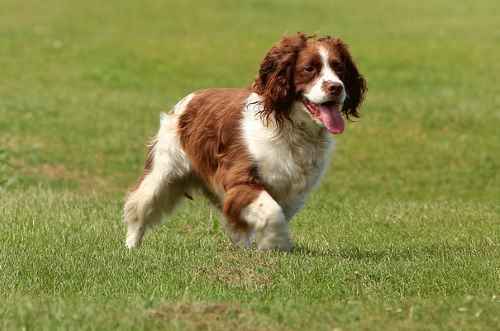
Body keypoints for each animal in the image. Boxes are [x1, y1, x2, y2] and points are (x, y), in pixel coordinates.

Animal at [124, 33, 368, 252]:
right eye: (309, 68)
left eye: (339, 68)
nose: (336, 87)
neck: (291, 129)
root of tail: (190, 98)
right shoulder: (241, 180)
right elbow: (272, 213)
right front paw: (275, 245)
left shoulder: (293, 191)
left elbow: (272, 214)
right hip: (163, 172)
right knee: (138, 207)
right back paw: (131, 246)